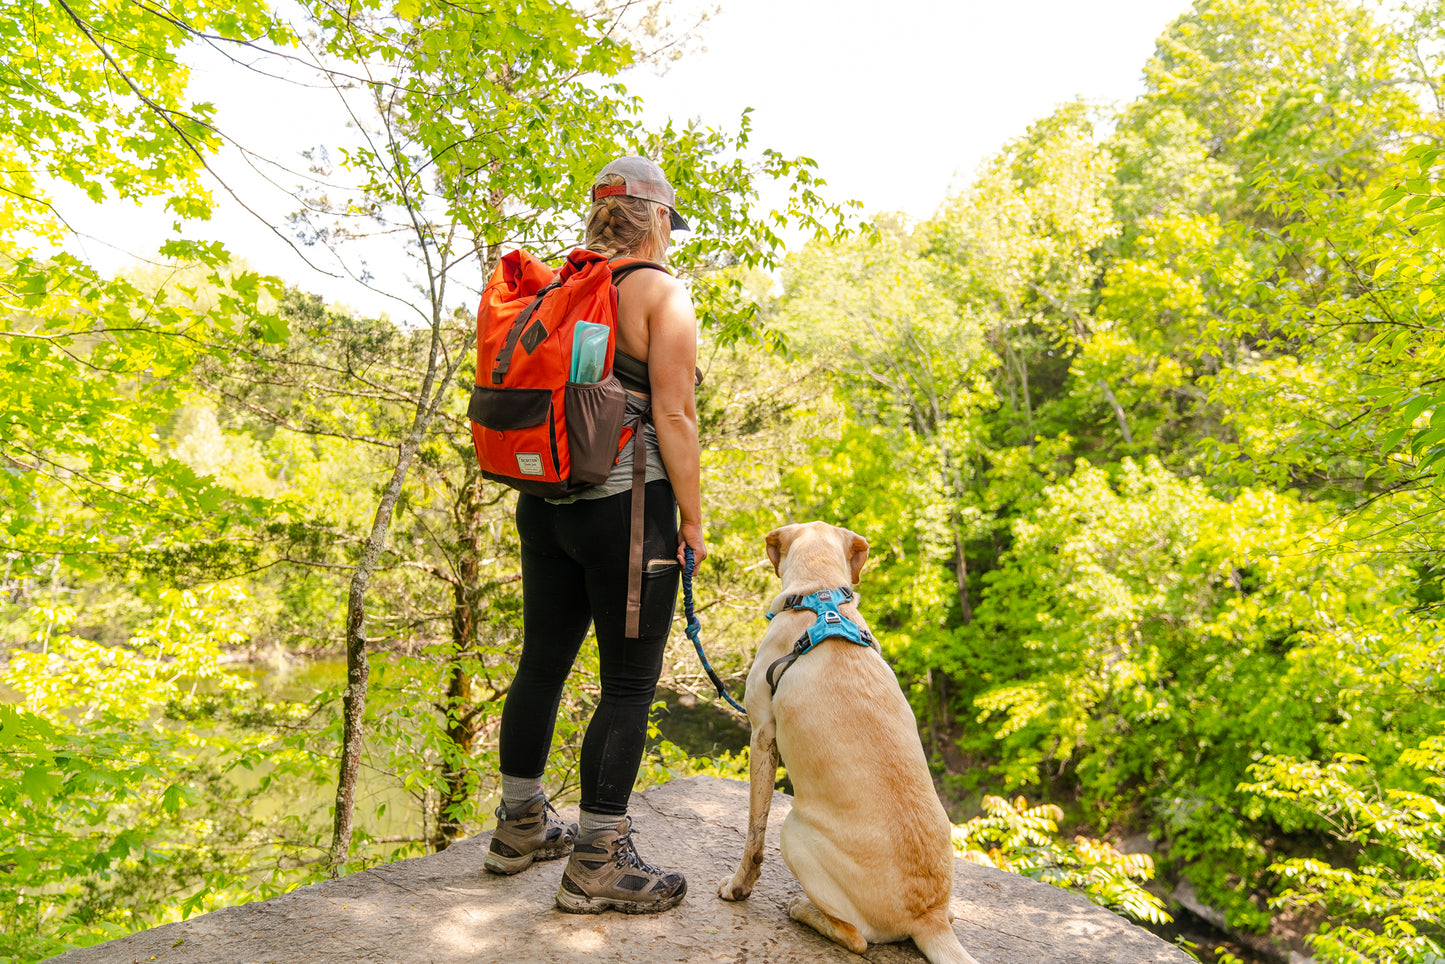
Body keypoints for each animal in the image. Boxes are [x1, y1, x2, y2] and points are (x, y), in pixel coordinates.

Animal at [713, 523, 976, 959]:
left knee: (855, 938)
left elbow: (754, 836)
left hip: (792, 831)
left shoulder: (762, 733)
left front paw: (738, 887)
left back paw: (802, 908)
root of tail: (930, 917)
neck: (821, 595)